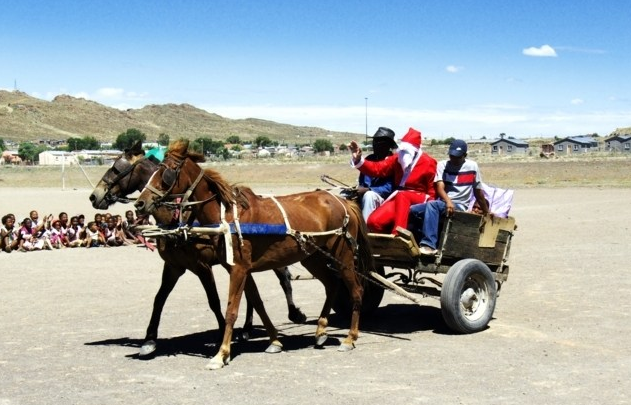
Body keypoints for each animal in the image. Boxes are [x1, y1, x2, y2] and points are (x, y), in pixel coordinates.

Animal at [89, 140, 306, 356]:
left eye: (116, 169)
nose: (94, 196)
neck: (176, 221)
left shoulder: (202, 266)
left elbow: (214, 300)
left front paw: (222, 335)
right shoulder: (173, 266)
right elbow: (159, 299)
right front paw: (149, 340)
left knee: (284, 280)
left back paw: (293, 314)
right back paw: (247, 328)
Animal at [133, 140, 372, 370]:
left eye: (168, 171)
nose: (139, 203)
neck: (227, 216)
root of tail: (343, 202)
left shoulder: (236, 268)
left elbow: (231, 309)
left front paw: (221, 354)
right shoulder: (239, 268)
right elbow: (257, 302)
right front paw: (274, 340)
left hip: (343, 255)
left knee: (357, 290)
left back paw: (350, 338)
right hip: (312, 257)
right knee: (331, 284)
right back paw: (321, 331)